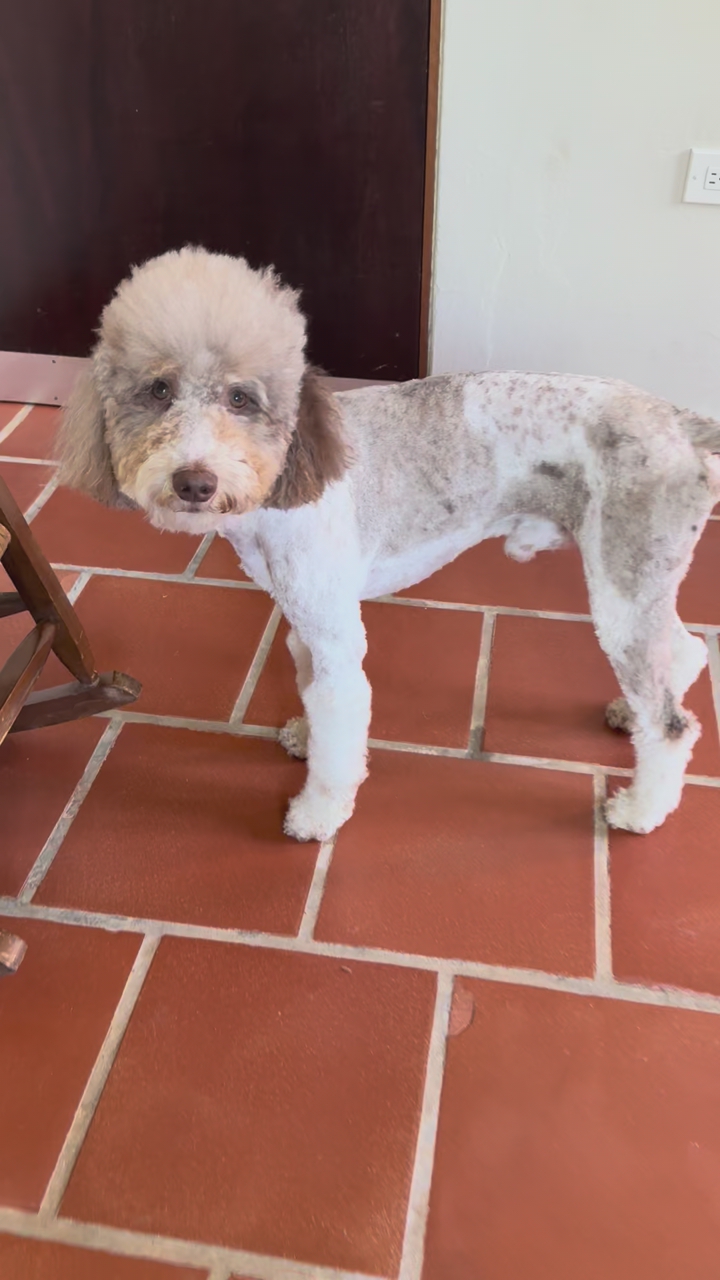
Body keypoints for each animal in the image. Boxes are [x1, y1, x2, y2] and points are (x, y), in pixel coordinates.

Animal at [57, 246, 720, 841]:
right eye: (158, 390)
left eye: (241, 397)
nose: (195, 482)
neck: (286, 482)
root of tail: (679, 420)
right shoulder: (309, 622)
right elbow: (314, 696)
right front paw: (305, 736)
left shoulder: (337, 635)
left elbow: (338, 723)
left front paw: (318, 815)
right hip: (640, 587)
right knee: (684, 652)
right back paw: (629, 714)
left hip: (621, 589)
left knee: (672, 725)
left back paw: (641, 810)